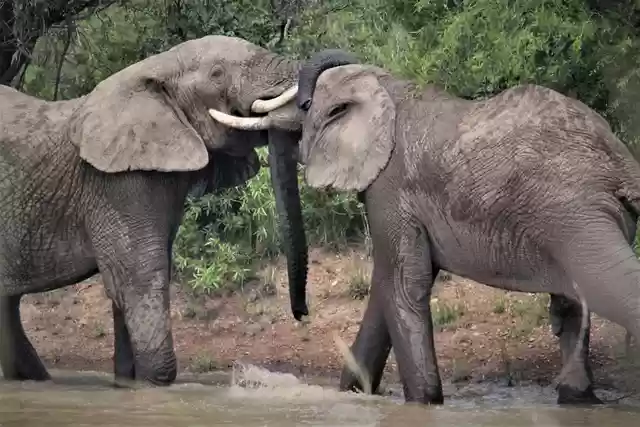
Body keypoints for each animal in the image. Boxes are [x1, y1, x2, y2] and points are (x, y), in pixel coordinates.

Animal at [0, 35, 310, 386]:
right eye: (217, 73)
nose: (301, 314)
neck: (157, 67)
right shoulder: (117, 181)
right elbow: (139, 278)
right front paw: (153, 383)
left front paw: (127, 383)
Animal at [207, 49, 640, 405]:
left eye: (307, 105)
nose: (302, 315)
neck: (386, 85)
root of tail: (619, 163)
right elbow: (388, 288)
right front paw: (353, 395)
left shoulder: (390, 184)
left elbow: (402, 283)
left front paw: (423, 402)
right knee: (575, 305)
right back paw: (578, 400)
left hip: (572, 213)